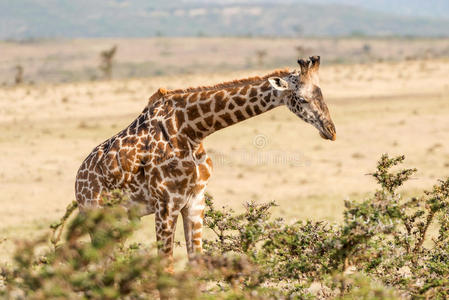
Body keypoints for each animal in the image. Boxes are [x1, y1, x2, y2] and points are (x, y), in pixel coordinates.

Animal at [75, 55, 334, 270]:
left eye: (322, 95)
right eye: (302, 99)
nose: (330, 130)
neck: (192, 130)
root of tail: (78, 181)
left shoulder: (195, 200)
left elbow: (196, 264)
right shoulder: (166, 204)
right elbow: (166, 266)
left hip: (124, 218)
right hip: (96, 217)